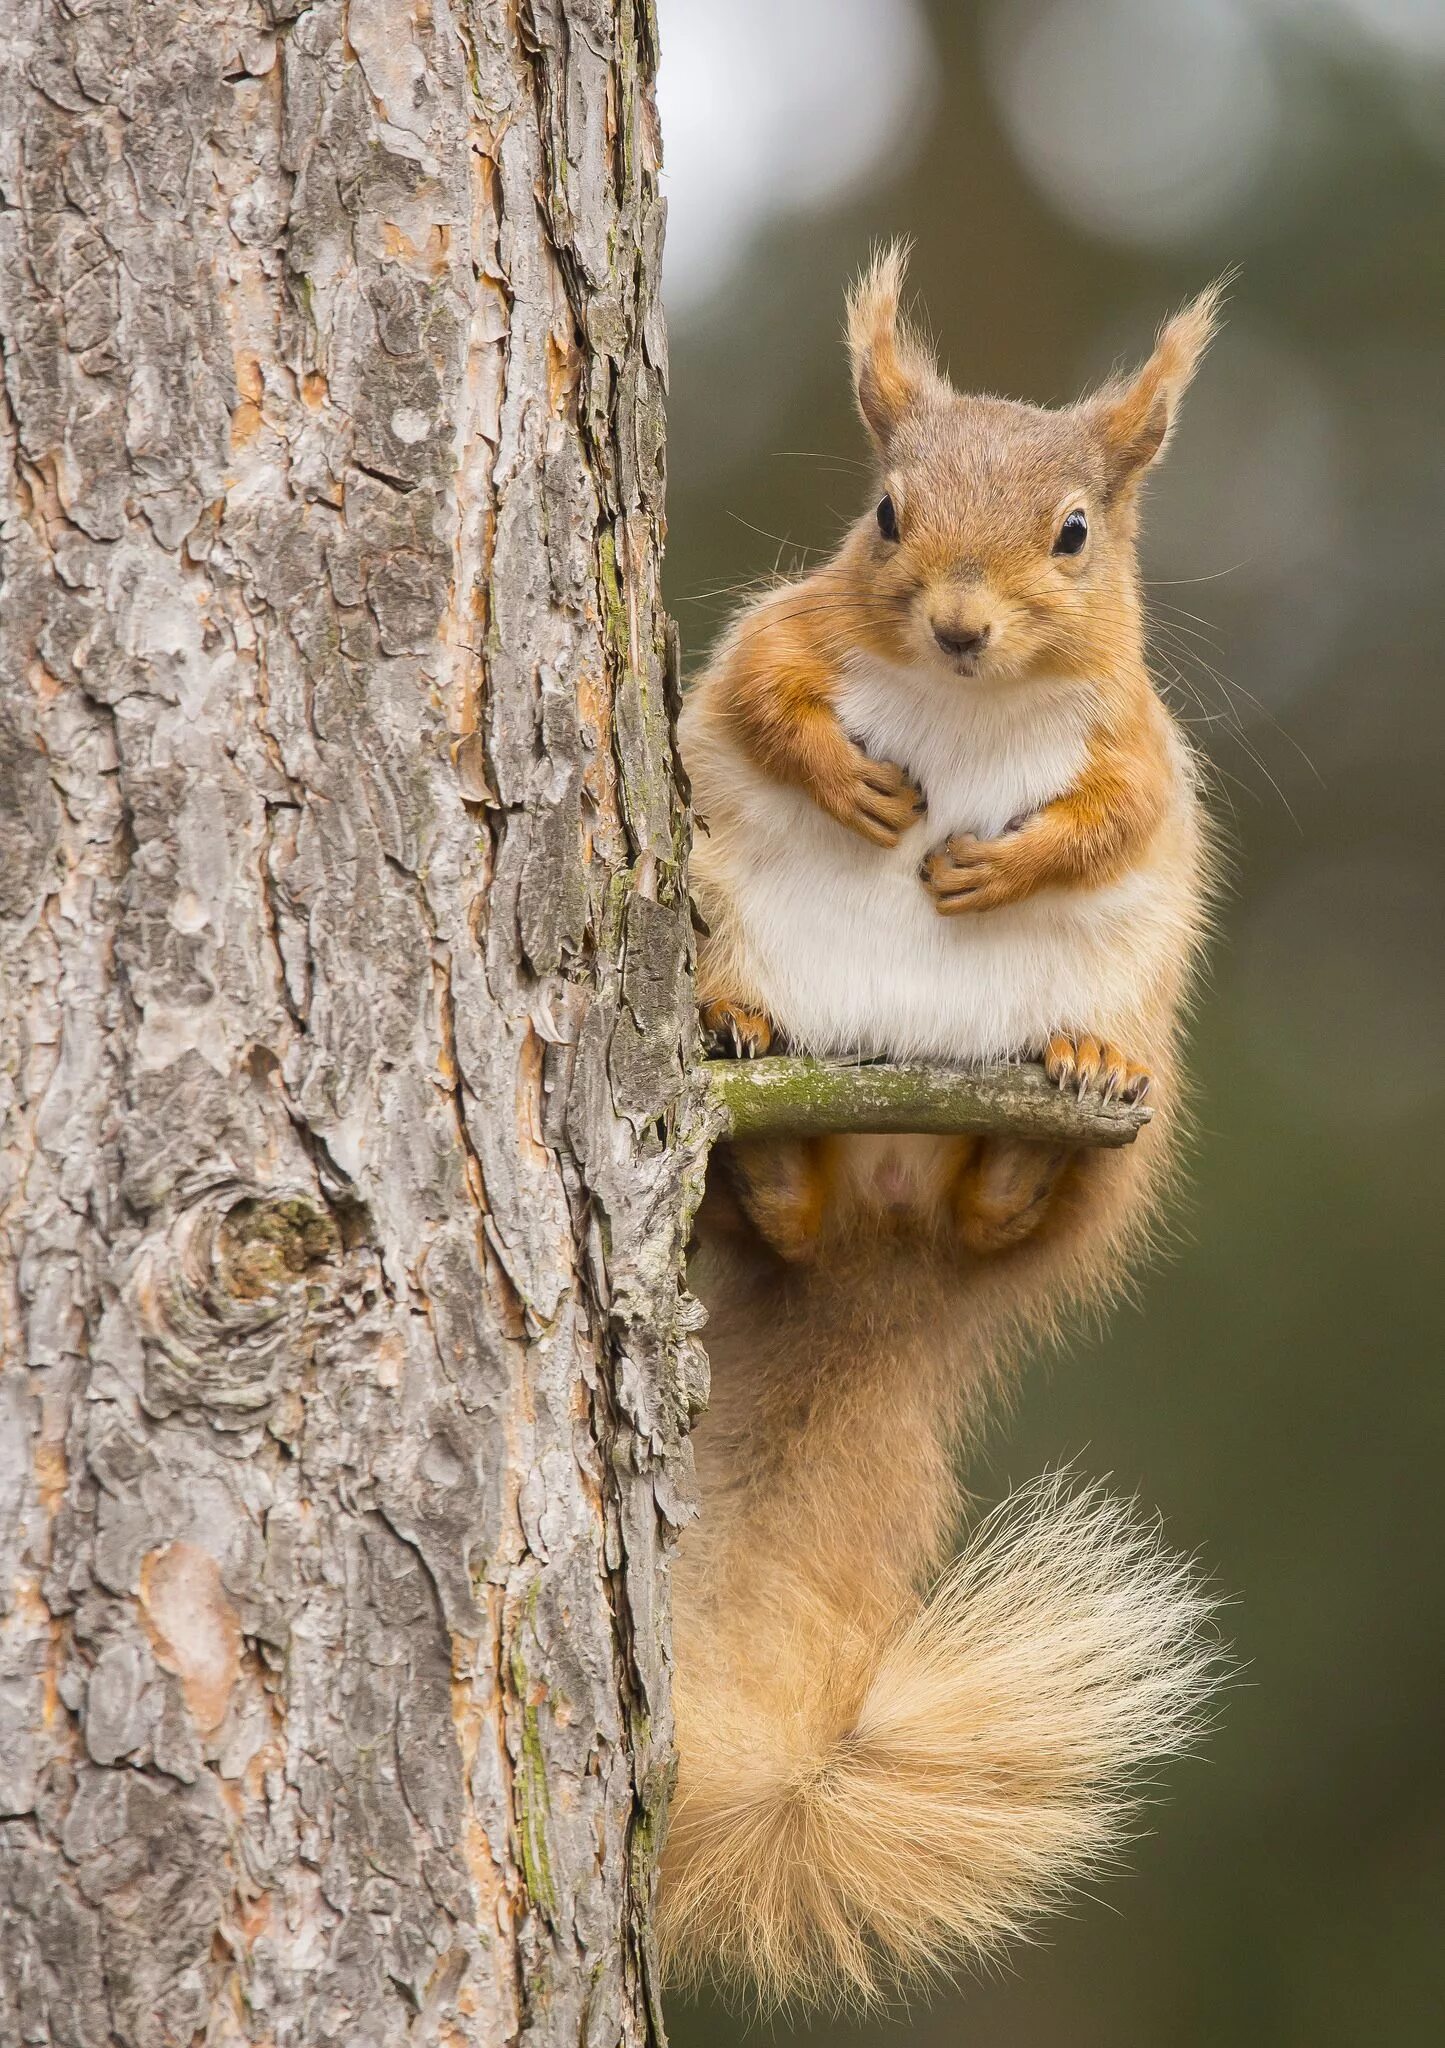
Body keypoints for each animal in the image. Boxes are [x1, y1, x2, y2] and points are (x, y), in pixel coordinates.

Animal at [659, 251, 1219, 1998]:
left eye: (1075, 533)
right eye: (887, 513)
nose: (963, 627)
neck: (967, 712)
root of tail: (889, 1240)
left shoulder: (1135, 740)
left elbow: (1112, 813)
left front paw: (999, 860)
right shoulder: (778, 635)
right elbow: (763, 701)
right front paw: (851, 782)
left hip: (1114, 1087)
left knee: (1008, 1205)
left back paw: (1043, 1129)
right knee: (776, 1192)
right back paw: (760, 1083)